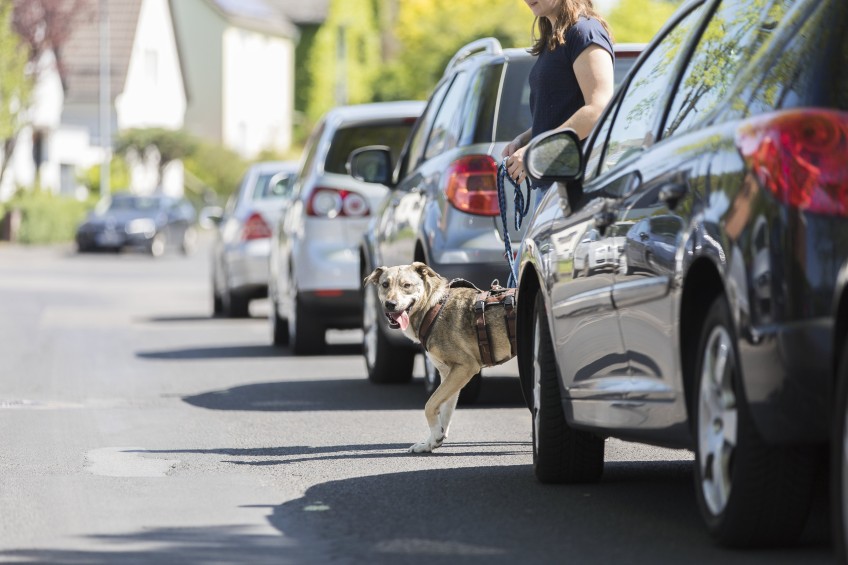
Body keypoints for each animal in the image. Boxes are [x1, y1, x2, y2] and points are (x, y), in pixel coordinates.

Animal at [362, 262, 512, 452]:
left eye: (407, 285)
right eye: (385, 284)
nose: (390, 304)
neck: (432, 308)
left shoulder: (466, 368)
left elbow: (430, 405)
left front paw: (434, 436)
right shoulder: (449, 373)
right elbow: (445, 409)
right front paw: (432, 441)